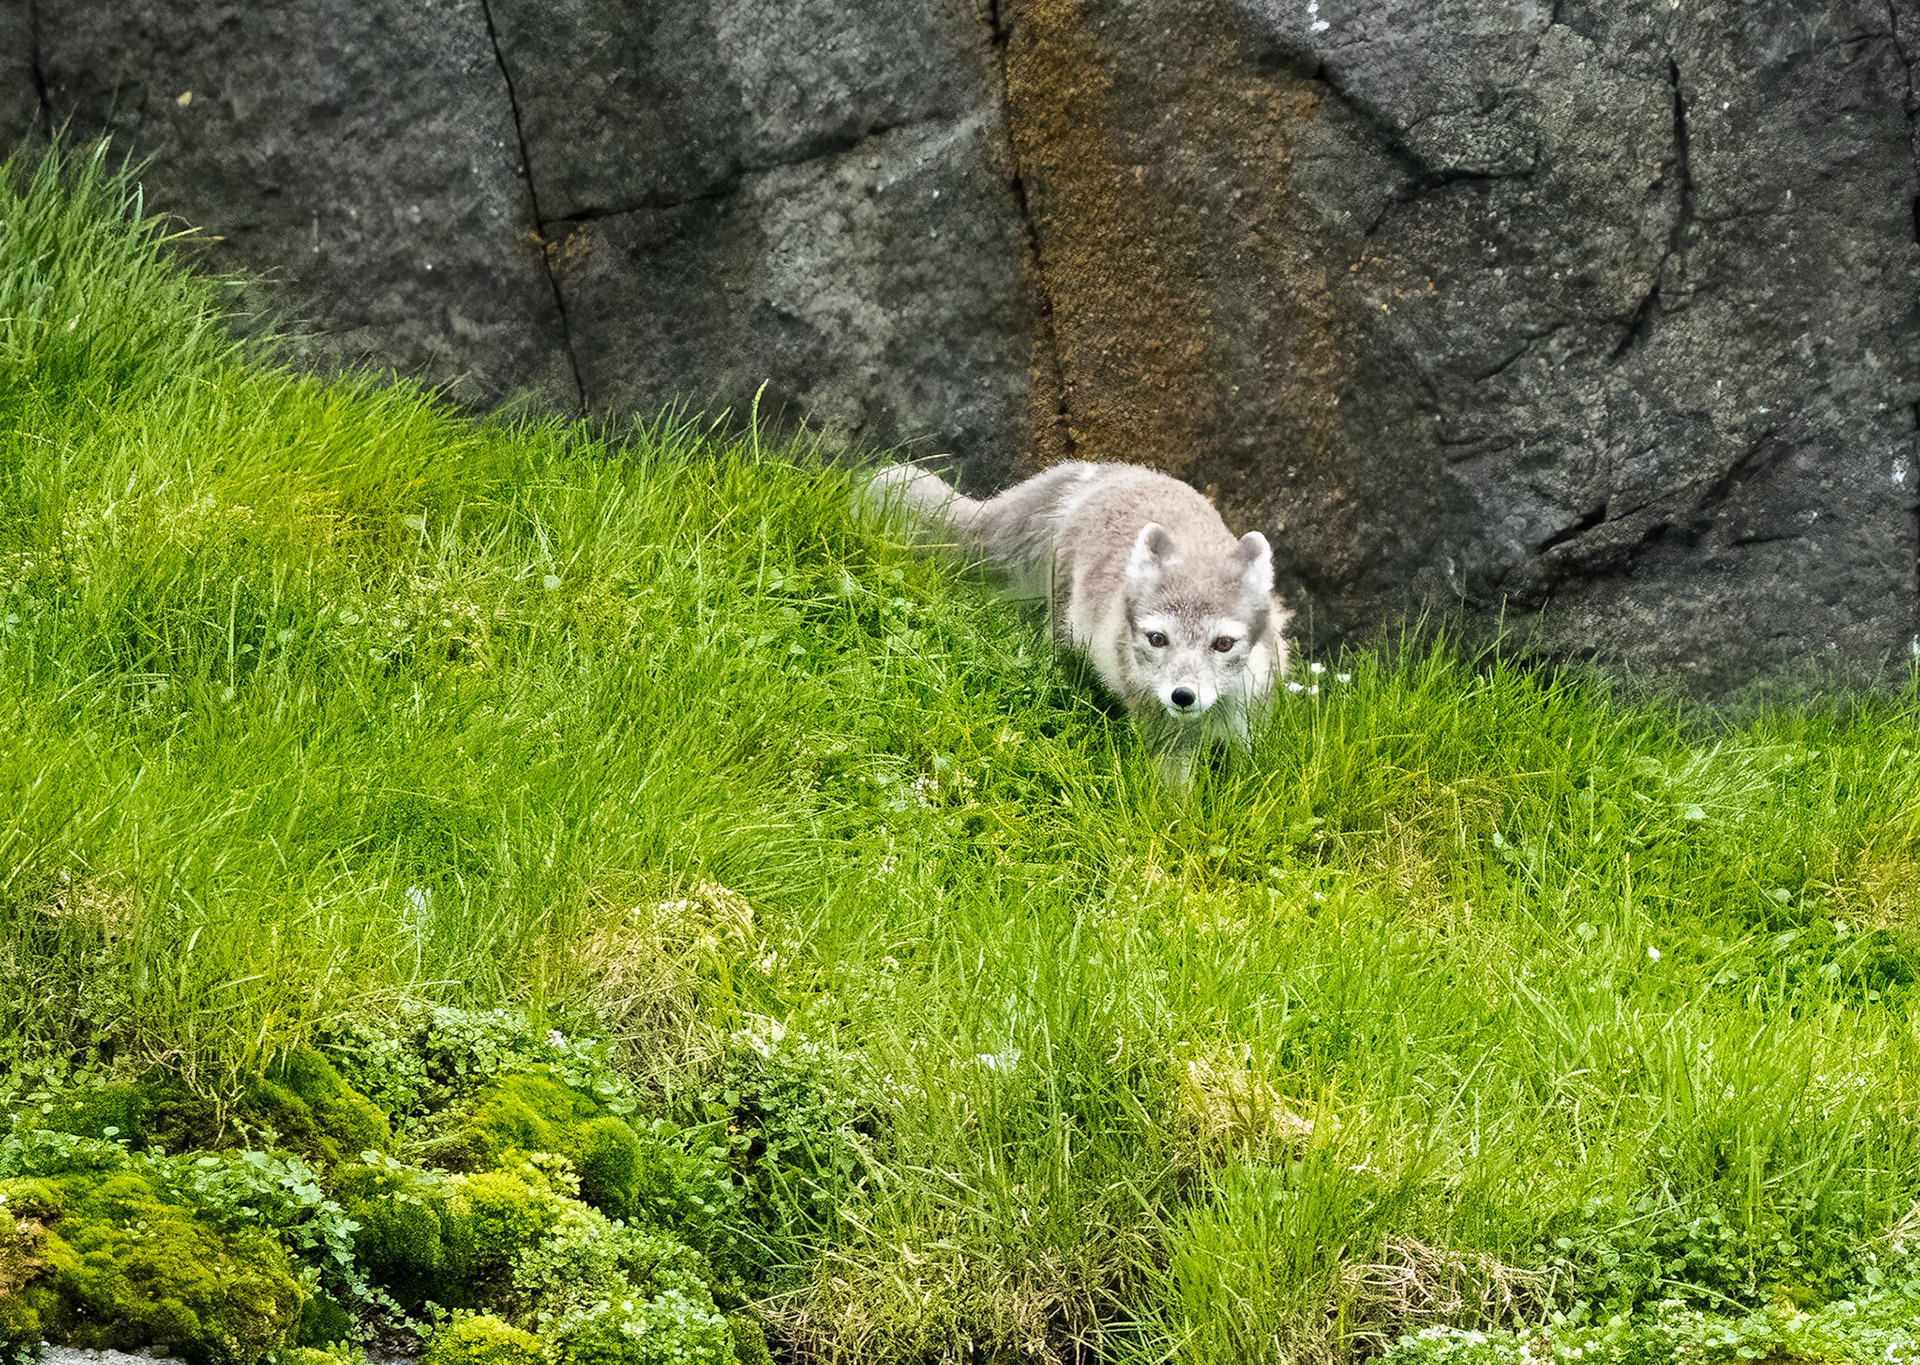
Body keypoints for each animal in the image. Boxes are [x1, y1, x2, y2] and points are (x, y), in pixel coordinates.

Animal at [865, 460, 1290, 786]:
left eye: (1223, 643)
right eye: (1157, 639)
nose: (1182, 696)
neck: (1213, 713)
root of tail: (1103, 474)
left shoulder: (1251, 726)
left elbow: (1247, 781)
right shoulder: (1166, 737)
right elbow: (1175, 803)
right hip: (1065, 633)